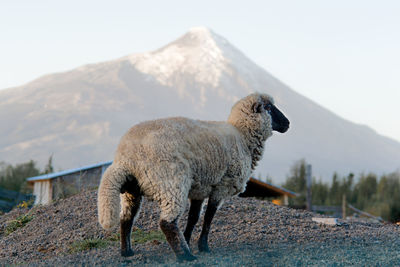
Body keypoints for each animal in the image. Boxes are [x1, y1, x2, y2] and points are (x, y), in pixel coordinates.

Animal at [97, 92, 290, 262]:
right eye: (269, 108)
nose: (288, 123)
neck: (242, 136)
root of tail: (125, 158)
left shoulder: (200, 189)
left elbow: (193, 218)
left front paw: (189, 240)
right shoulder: (222, 186)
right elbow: (209, 217)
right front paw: (203, 246)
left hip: (132, 191)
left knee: (126, 219)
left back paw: (127, 252)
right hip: (171, 182)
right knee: (167, 222)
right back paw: (185, 256)